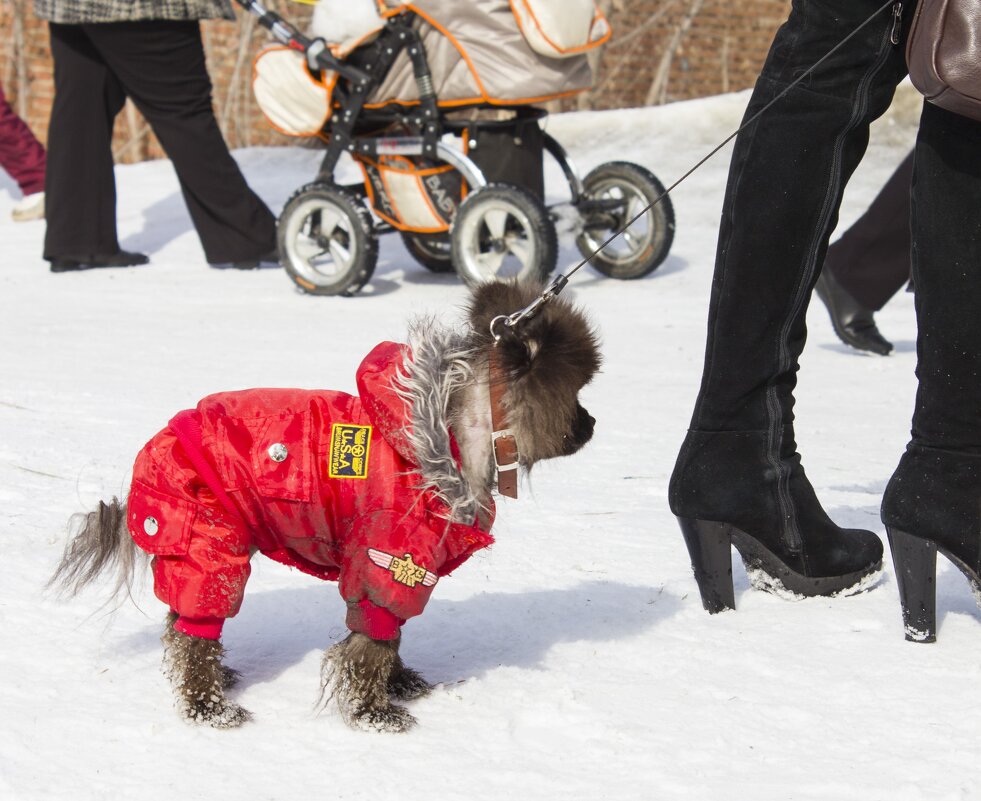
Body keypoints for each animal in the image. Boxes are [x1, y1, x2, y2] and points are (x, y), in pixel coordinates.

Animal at [53, 282, 600, 732]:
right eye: (576, 393)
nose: (592, 423)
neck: (451, 437)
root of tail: (155, 447)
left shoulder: (395, 569)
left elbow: (387, 636)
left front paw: (396, 684)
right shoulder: (389, 560)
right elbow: (374, 642)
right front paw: (372, 712)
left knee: (181, 624)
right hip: (208, 542)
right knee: (195, 628)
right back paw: (206, 706)